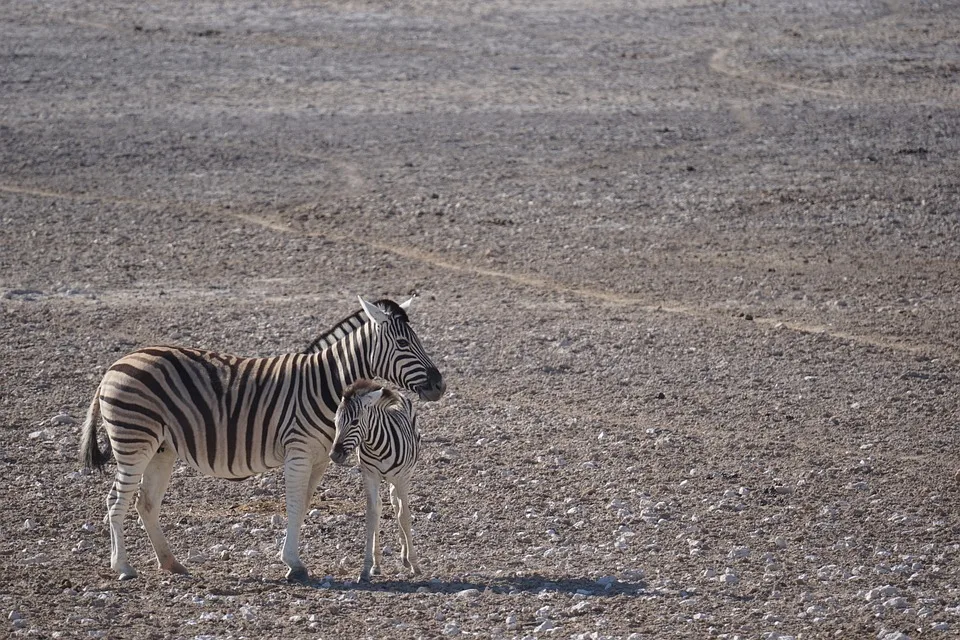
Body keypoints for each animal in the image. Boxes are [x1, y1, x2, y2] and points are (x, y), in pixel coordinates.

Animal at [330, 378, 420, 584]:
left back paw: (405, 557)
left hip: (404, 475)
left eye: (355, 422)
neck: (377, 446)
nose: (334, 455)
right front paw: (366, 567)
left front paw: (414, 563)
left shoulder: (401, 478)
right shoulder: (370, 475)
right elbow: (372, 515)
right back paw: (379, 564)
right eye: (335, 422)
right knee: (385, 506)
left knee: (398, 508)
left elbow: (404, 515)